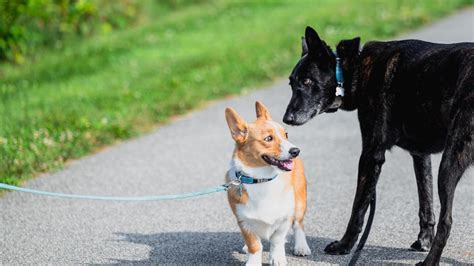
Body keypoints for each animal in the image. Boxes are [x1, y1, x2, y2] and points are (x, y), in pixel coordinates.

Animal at [225, 101, 312, 264]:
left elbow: (277, 240)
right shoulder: (243, 221)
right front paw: (252, 262)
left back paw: (301, 247)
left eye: (286, 134)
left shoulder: (285, 218)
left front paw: (277, 259)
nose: (296, 151)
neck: (262, 180)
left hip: (299, 202)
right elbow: (254, 245)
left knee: (299, 225)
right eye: (268, 139)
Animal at [284, 25, 472, 266]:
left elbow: (358, 207)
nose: (287, 119)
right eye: (291, 83)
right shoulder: (420, 155)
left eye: (307, 81)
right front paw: (424, 239)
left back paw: (430, 261)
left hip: (449, 164)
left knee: (447, 220)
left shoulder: (370, 154)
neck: (354, 68)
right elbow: (425, 201)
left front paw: (345, 245)